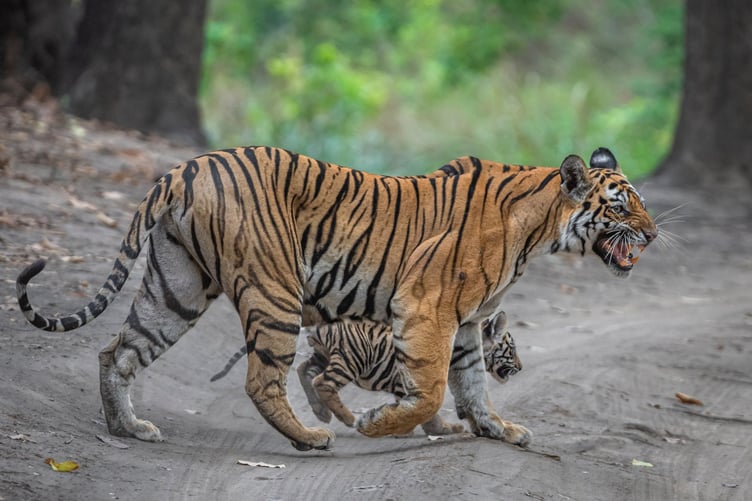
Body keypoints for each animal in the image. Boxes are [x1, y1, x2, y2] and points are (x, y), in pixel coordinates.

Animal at [16, 145, 657, 451]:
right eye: (622, 206)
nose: (652, 235)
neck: (541, 228)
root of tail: (185, 168)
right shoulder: (427, 309)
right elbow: (431, 391)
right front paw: (377, 424)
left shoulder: (469, 323)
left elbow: (472, 384)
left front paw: (499, 430)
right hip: (274, 290)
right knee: (263, 379)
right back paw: (311, 436)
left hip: (176, 288)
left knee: (118, 352)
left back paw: (128, 427)